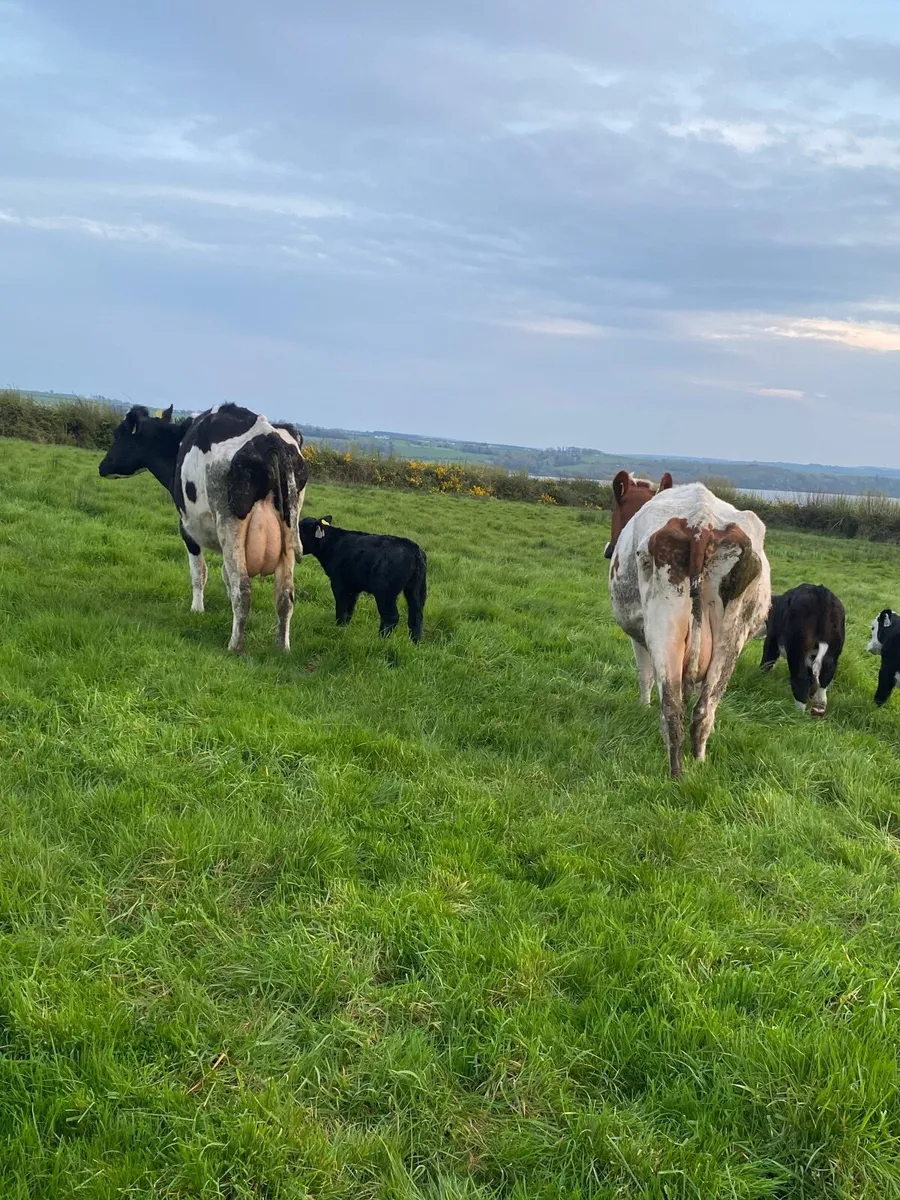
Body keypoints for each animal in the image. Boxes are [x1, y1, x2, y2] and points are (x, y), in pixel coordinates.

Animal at [98, 403, 308, 653]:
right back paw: (282, 647)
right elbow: (225, 576)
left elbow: (199, 573)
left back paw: (235, 645)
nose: (102, 466)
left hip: (229, 525)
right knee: (285, 594)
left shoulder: (187, 530)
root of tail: (269, 438)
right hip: (288, 532)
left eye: (119, 434)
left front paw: (197, 609)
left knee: (243, 588)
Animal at [298, 515, 427, 642]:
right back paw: (415, 643)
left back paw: (380, 641)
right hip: (416, 589)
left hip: (386, 592)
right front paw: (344, 629)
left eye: (301, 532)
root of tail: (414, 549)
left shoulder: (339, 584)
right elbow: (349, 609)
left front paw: (338, 628)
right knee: (416, 617)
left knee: (391, 616)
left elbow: (341, 608)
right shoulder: (353, 587)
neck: (333, 544)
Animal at [606, 470, 771, 778]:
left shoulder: (637, 633)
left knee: (671, 707)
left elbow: (644, 676)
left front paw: (642, 708)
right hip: (732, 635)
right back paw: (699, 763)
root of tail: (701, 522)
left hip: (663, 627)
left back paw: (676, 776)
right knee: (704, 710)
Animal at [759, 584, 845, 716]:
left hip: (796, 647)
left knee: (801, 678)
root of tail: (820, 591)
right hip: (833, 650)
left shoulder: (772, 639)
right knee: (825, 675)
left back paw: (797, 713)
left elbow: (767, 661)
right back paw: (819, 707)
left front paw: (760, 677)